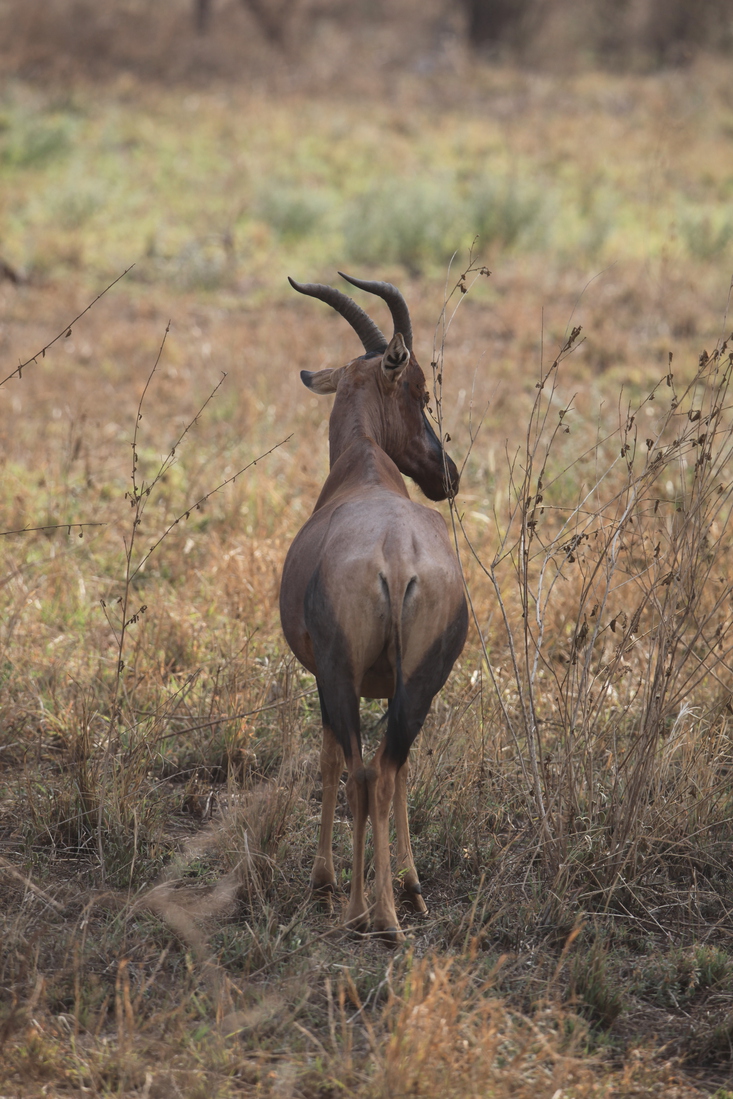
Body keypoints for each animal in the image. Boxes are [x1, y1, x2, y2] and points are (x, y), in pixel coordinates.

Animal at [278, 274, 468, 945]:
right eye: (420, 390)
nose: (448, 474)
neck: (364, 468)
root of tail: (396, 558)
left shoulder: (328, 676)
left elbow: (330, 760)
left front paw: (324, 881)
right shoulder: (390, 684)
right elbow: (400, 772)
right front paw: (413, 886)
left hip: (342, 676)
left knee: (365, 773)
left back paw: (368, 912)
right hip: (422, 683)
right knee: (389, 770)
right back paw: (393, 906)